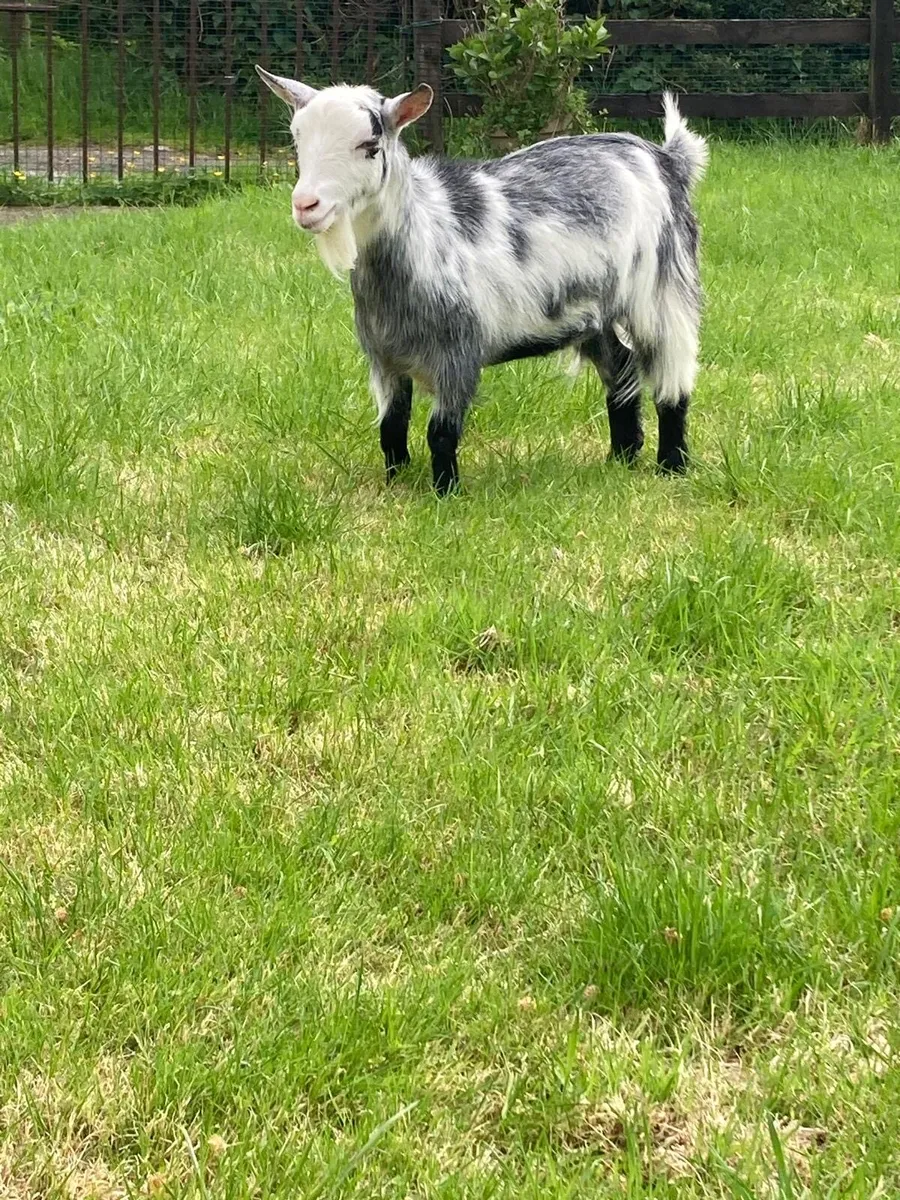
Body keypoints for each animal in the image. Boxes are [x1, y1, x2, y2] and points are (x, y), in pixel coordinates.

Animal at [257, 65, 707, 494]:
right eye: (297, 141)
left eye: (370, 147)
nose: (306, 205)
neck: (426, 235)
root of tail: (666, 158)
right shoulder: (384, 359)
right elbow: (391, 427)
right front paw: (395, 483)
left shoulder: (459, 354)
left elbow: (440, 433)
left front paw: (446, 493)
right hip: (596, 313)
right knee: (622, 367)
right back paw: (621, 457)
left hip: (662, 289)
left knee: (674, 376)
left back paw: (671, 465)